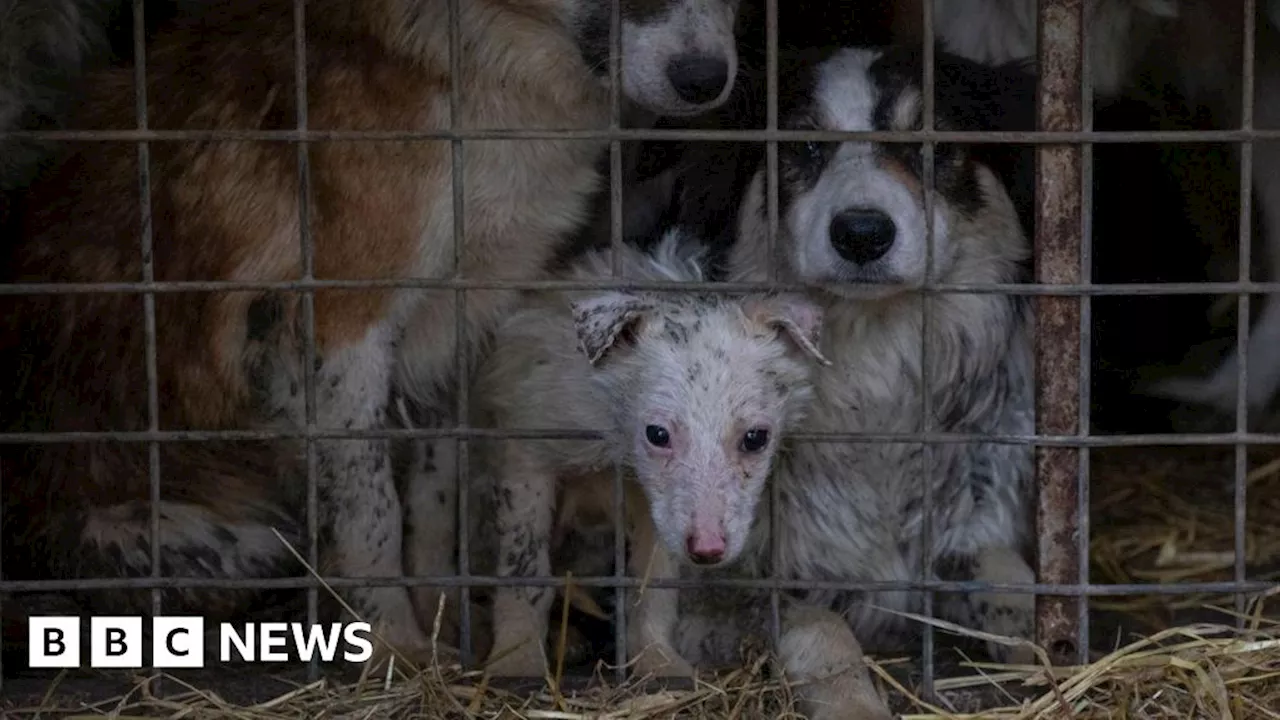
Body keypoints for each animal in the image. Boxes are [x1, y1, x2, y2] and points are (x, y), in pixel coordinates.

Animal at [0, 0, 742, 666]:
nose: (705, 80)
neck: (479, 60)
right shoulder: (340, 323)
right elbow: (368, 508)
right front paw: (392, 644)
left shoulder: (464, 317)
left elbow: (435, 502)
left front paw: (446, 616)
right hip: (216, 537)